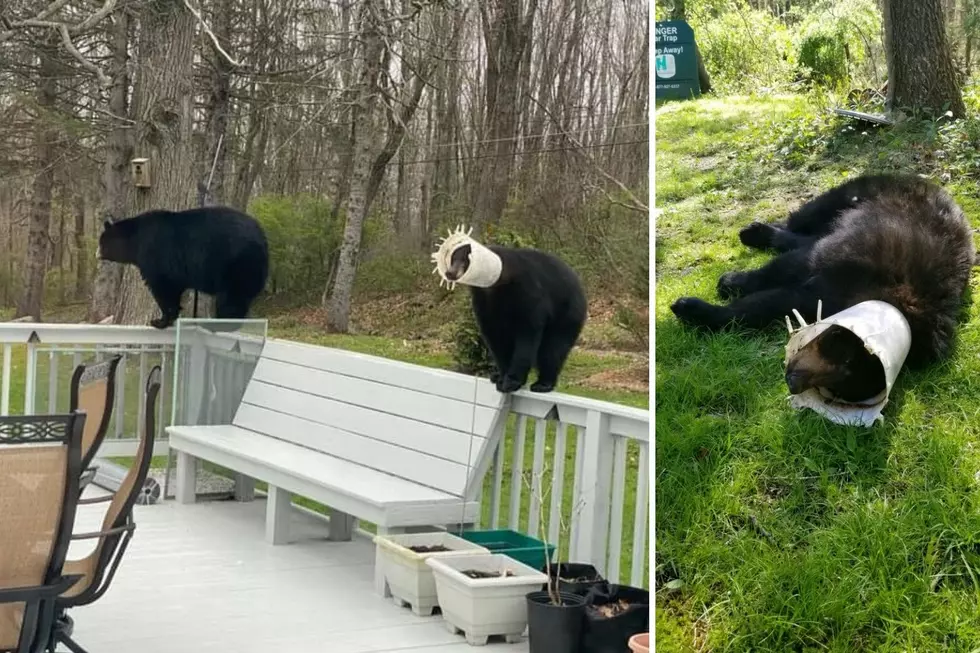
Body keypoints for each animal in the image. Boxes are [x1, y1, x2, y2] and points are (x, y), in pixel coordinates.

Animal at [98, 205, 270, 328]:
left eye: (101, 243)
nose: (96, 254)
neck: (136, 240)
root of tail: (262, 238)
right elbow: (174, 288)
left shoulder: (155, 255)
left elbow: (162, 288)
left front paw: (159, 321)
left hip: (237, 264)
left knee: (231, 298)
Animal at [668, 173, 976, 398]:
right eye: (846, 357)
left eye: (839, 388)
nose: (793, 385)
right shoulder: (829, 260)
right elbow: (773, 275)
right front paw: (719, 290)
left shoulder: (813, 296)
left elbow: (759, 308)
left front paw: (705, 308)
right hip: (841, 200)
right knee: (800, 226)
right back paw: (756, 233)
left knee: (801, 239)